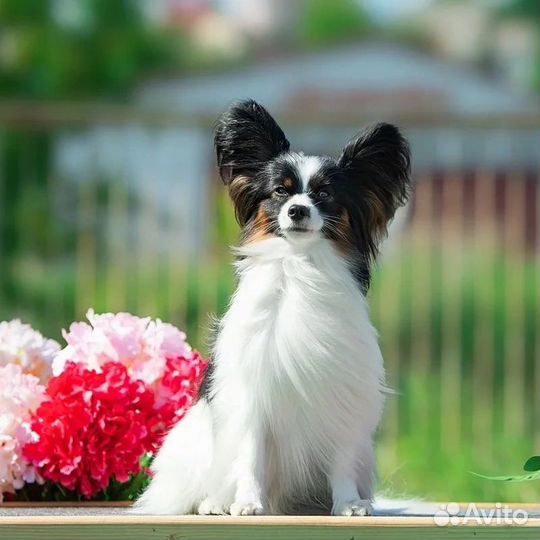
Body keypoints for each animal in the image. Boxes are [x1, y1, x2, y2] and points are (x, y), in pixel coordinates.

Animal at [134, 99, 410, 516]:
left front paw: (348, 503)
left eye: (325, 195)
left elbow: (343, 460)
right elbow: (250, 456)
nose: (297, 210)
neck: (299, 265)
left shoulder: (344, 400)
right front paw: (248, 503)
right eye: (281, 192)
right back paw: (214, 503)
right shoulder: (252, 395)